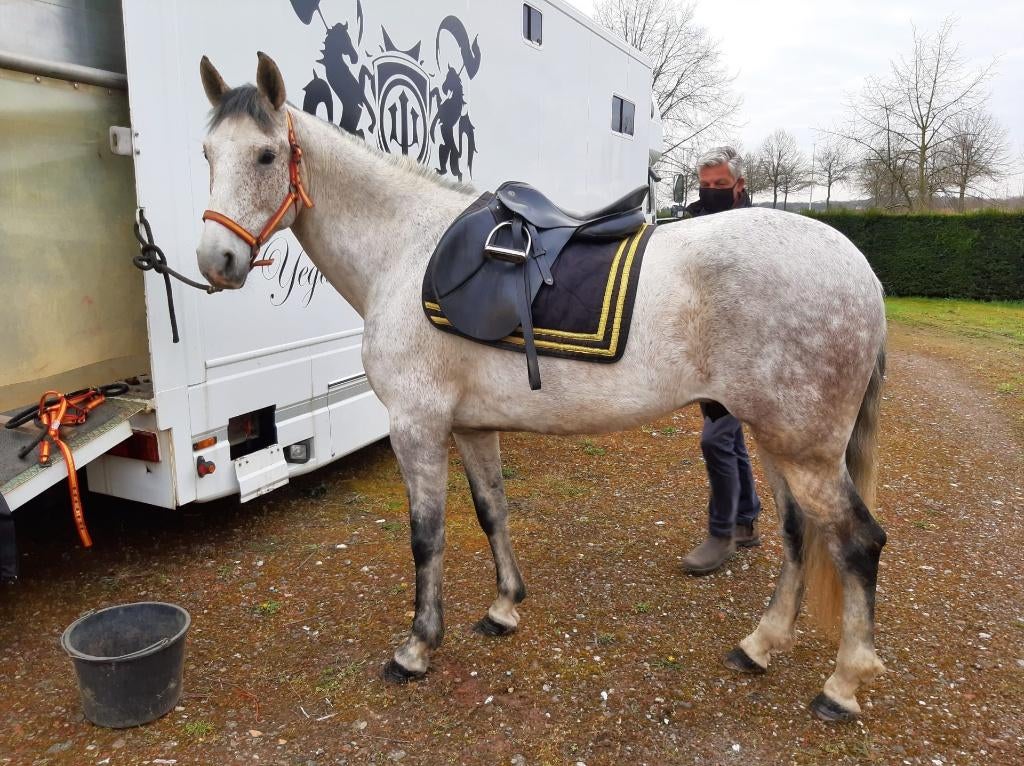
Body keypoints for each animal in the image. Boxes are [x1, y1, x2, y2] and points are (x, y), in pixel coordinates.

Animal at [196, 53, 889, 722]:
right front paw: (504, 608)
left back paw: (841, 686)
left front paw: (417, 646)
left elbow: (426, 534)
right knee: (799, 536)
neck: (405, 250)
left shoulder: (416, 426)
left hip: (807, 451)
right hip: (777, 441)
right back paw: (760, 645)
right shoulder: (472, 426)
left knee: (857, 542)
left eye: (266, 155)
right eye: (206, 153)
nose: (214, 261)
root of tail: (862, 271)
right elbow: (491, 511)